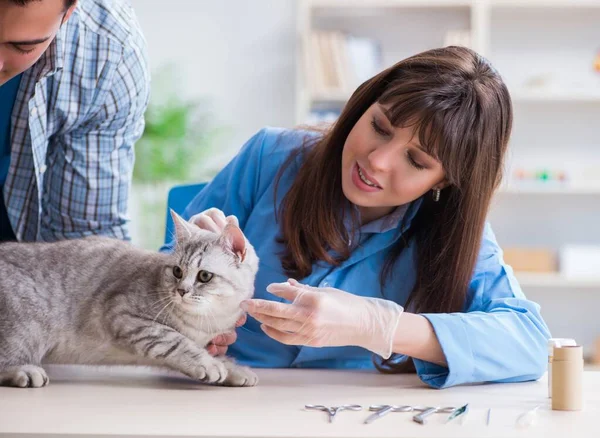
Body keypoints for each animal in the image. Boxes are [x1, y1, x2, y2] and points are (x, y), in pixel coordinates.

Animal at [0, 210, 256, 388]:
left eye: (204, 276)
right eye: (177, 271)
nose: (181, 290)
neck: (207, 321)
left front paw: (232, 368)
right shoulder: (124, 315)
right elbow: (177, 342)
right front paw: (209, 364)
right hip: (27, 325)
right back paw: (23, 371)